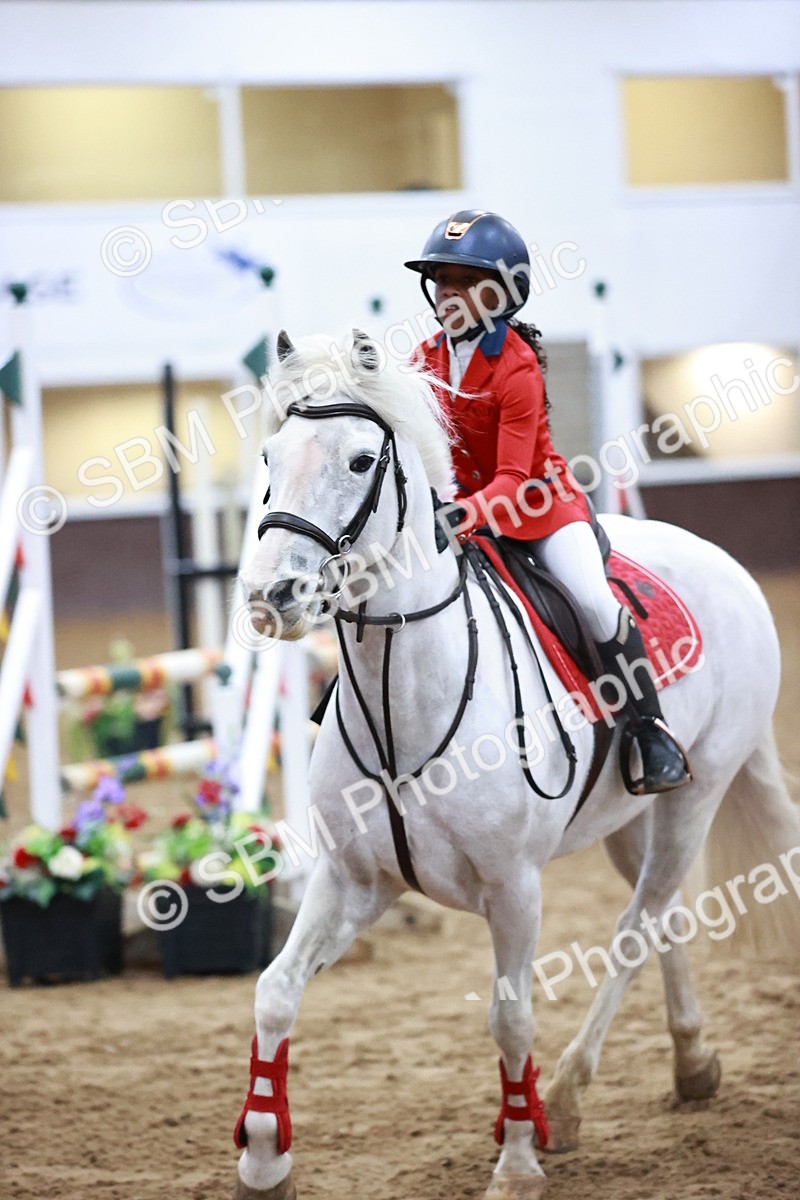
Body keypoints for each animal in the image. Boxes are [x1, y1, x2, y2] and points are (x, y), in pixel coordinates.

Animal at [234, 329, 800, 1200]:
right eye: (269, 455)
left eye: (361, 460)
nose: (273, 596)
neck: (404, 703)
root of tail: (718, 558)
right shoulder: (352, 880)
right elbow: (275, 991)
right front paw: (264, 1157)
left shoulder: (514, 889)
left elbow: (511, 1016)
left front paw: (519, 1156)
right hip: (626, 819)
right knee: (662, 913)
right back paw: (691, 1060)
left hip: (693, 797)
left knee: (636, 926)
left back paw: (565, 1098)